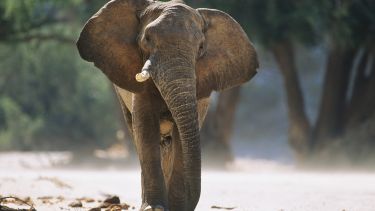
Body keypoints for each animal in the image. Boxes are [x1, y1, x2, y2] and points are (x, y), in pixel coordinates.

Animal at [76, 0, 258, 211]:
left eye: (201, 47)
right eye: (147, 39)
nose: (189, 202)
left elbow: (181, 137)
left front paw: (177, 207)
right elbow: (145, 130)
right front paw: (153, 208)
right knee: (137, 134)